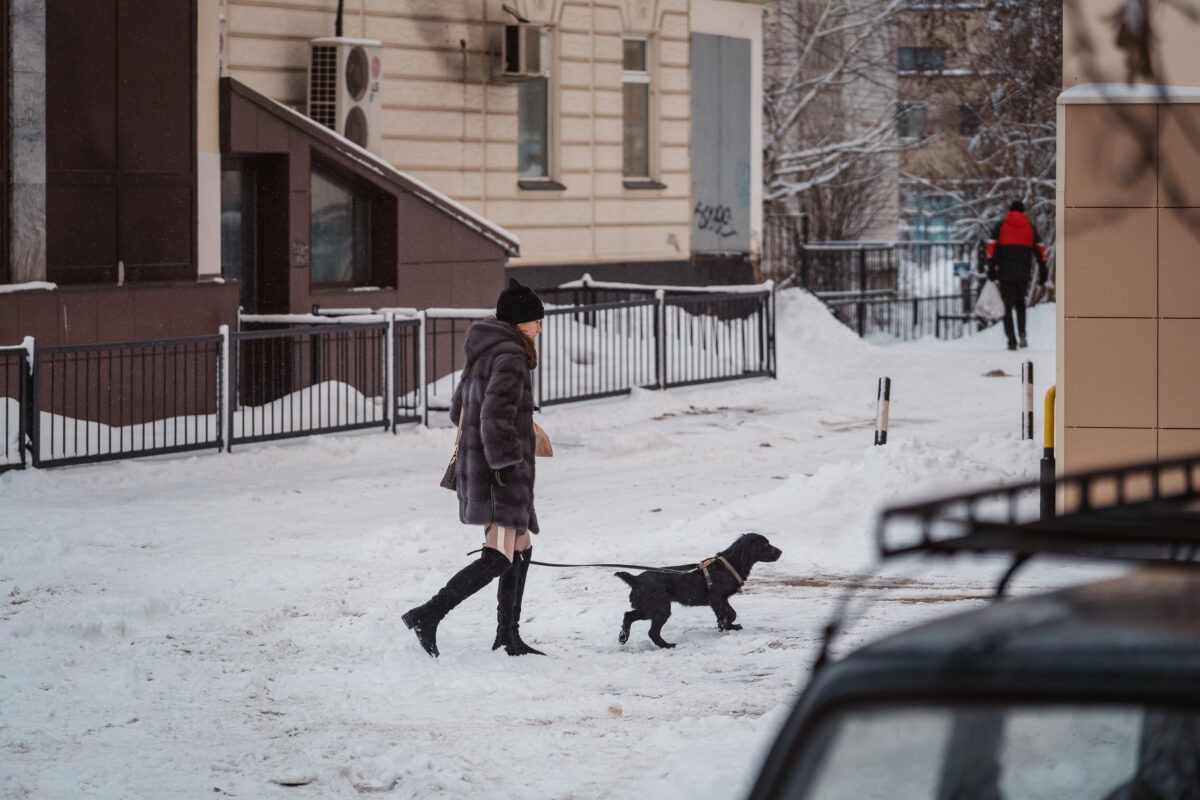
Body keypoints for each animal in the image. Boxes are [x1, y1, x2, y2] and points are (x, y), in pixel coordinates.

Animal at [614, 532, 782, 652]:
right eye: (765, 544)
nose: (780, 551)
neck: (729, 564)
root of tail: (636, 579)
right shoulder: (717, 597)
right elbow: (731, 613)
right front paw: (726, 625)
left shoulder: (720, 600)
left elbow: (727, 613)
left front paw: (725, 626)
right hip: (660, 609)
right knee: (652, 632)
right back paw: (667, 645)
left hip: (648, 609)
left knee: (628, 615)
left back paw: (623, 637)